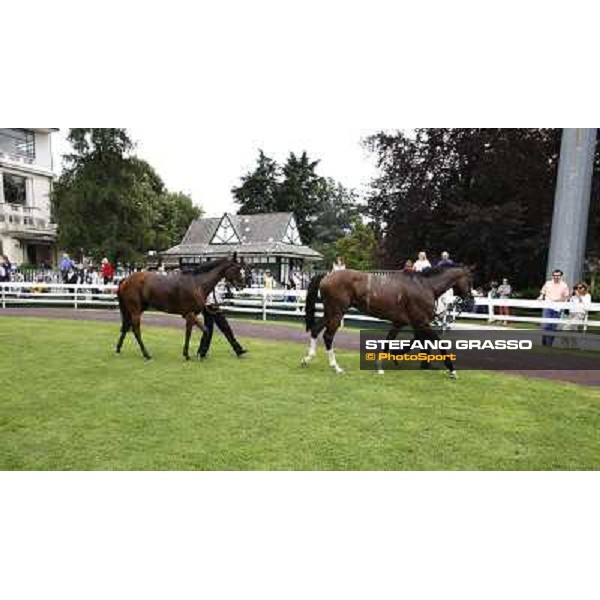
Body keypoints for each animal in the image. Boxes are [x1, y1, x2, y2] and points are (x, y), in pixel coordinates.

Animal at [116, 254, 245, 360]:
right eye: (237, 268)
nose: (242, 285)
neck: (197, 284)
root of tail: (126, 279)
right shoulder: (190, 314)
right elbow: (206, 330)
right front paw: (199, 353)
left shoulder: (190, 315)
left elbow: (190, 332)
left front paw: (188, 353)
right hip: (135, 310)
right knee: (136, 330)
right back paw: (146, 354)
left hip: (136, 309)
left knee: (126, 326)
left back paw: (118, 348)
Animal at [304, 266, 474, 378]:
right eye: (470, 279)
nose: (470, 300)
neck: (425, 286)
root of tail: (326, 276)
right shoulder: (421, 322)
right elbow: (438, 342)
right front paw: (452, 369)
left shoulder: (402, 322)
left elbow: (391, 342)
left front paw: (383, 364)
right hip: (337, 313)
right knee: (328, 336)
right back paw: (336, 367)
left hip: (330, 313)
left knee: (315, 329)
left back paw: (307, 359)